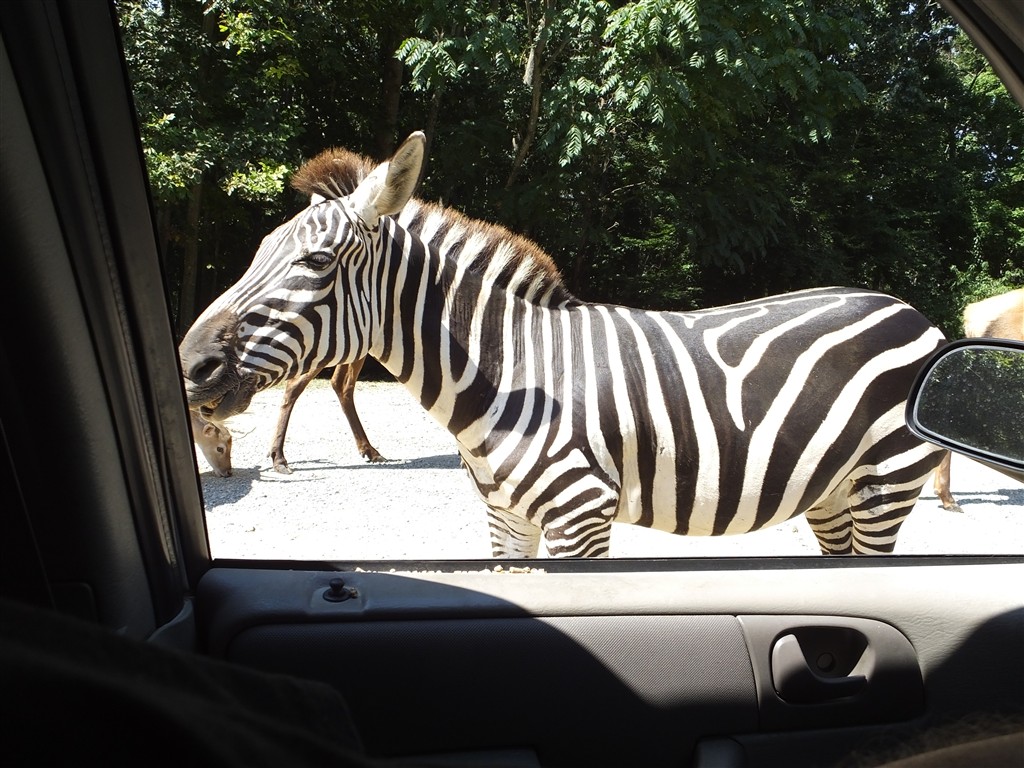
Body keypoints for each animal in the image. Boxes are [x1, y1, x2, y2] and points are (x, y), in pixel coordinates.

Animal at [179, 131, 948, 557]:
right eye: (257, 251)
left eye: (315, 262)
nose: (191, 364)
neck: (507, 372)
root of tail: (911, 311)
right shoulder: (506, 516)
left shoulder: (582, 512)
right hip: (833, 494)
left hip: (882, 487)